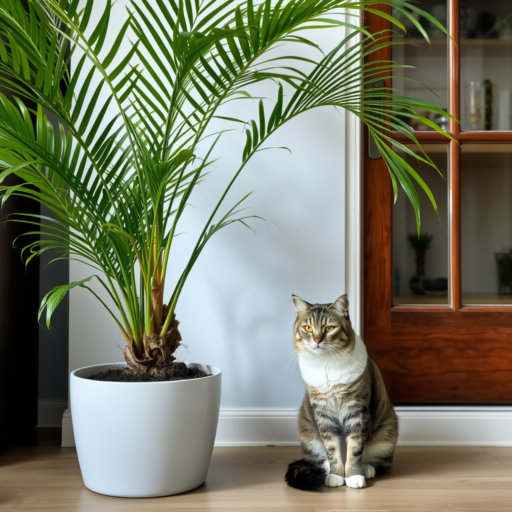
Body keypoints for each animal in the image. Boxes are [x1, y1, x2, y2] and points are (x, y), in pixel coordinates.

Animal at [284, 296, 400, 492]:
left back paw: (367, 469)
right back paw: (326, 469)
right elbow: (332, 448)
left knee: (378, 461)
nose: (317, 339)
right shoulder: (323, 413)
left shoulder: (357, 410)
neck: (326, 365)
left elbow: (355, 448)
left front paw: (354, 477)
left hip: (386, 435)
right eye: (308, 328)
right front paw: (336, 476)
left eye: (329, 328)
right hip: (308, 436)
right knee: (318, 460)